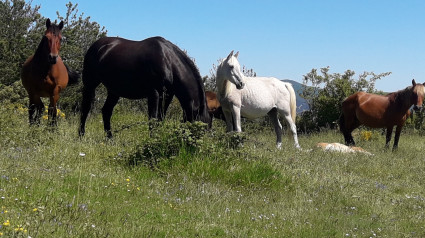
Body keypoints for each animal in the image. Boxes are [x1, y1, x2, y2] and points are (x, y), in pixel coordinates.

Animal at [78, 36, 210, 137]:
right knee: (85, 108)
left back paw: (110, 139)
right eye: (200, 129)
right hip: (90, 84)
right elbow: (153, 120)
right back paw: (81, 135)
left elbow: (160, 118)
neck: (167, 60)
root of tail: (98, 45)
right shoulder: (154, 94)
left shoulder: (167, 95)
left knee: (106, 111)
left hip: (114, 91)